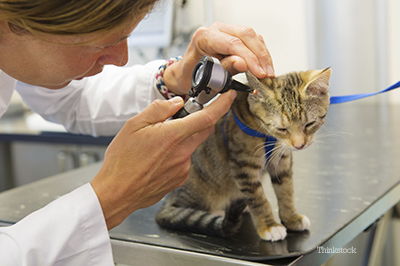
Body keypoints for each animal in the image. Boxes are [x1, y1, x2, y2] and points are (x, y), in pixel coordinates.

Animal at [156, 68, 332, 241]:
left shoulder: (282, 162)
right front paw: (269, 226)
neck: (267, 135)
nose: (300, 145)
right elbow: (258, 199)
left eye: (309, 124)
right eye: (282, 129)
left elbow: (286, 191)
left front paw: (291, 218)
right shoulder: (243, 166)